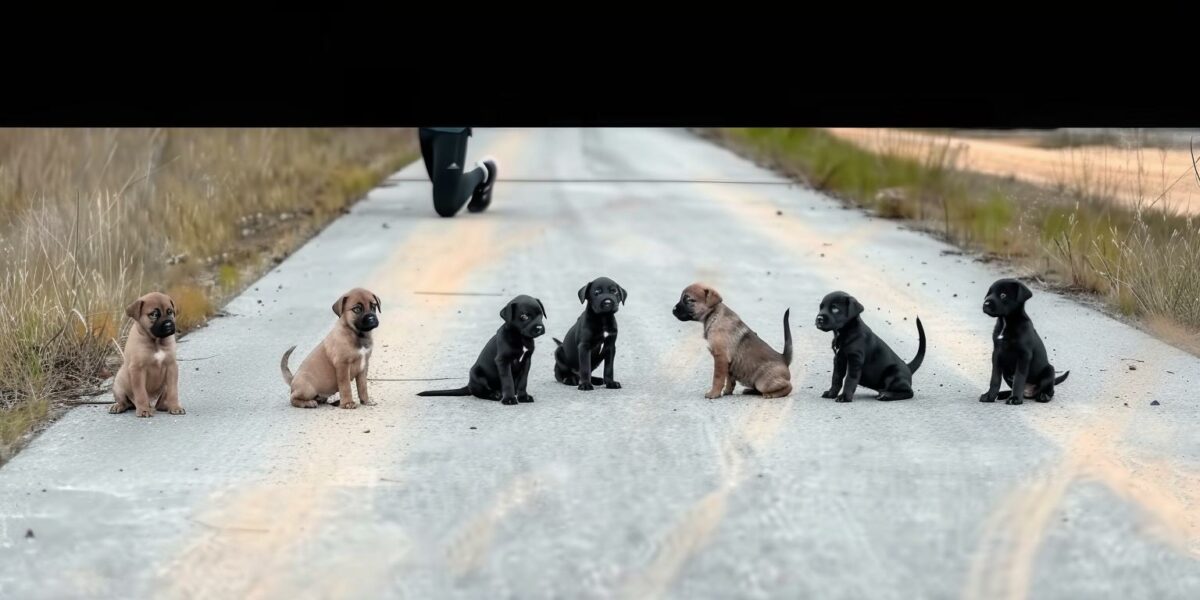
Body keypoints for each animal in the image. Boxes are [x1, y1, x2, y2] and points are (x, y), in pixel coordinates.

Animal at [417, 295, 549, 408]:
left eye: (540, 314)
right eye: (524, 316)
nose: (539, 328)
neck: (520, 337)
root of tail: (469, 385)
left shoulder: (527, 360)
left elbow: (523, 381)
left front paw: (523, 396)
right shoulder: (503, 361)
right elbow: (507, 381)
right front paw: (509, 399)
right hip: (477, 374)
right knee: (481, 393)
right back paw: (495, 395)